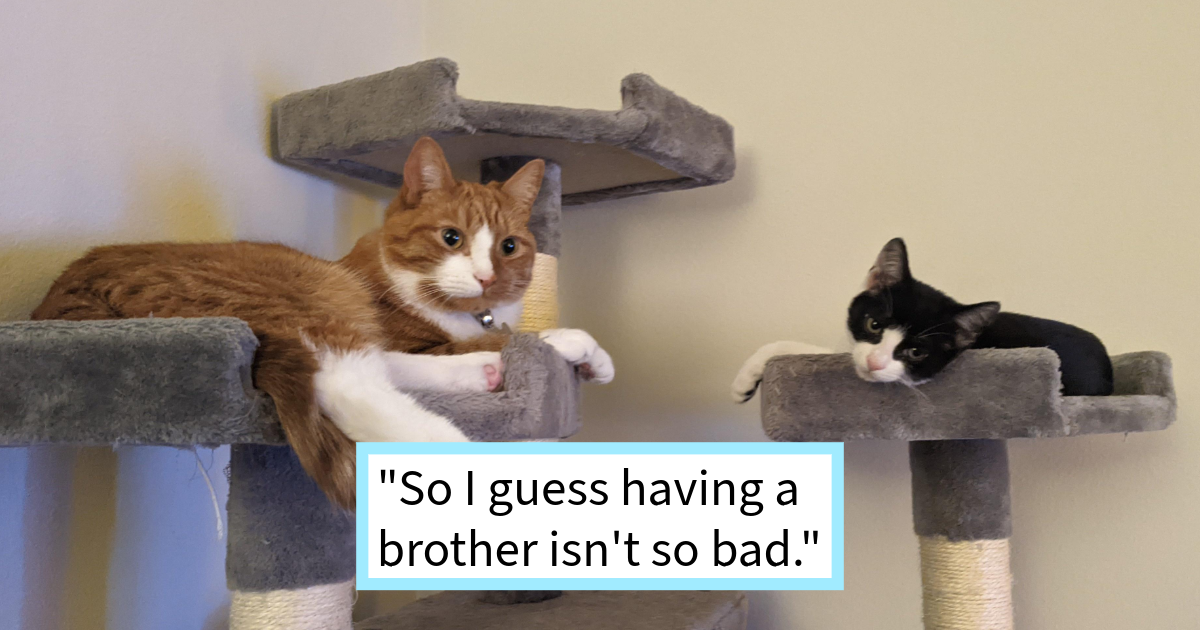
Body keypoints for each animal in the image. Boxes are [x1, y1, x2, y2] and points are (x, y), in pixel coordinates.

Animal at [31, 137, 614, 510]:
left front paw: (585, 358)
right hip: (311, 288)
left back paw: (485, 374)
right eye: (452, 238)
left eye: (509, 247)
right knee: (347, 379)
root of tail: (64, 293)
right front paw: (576, 343)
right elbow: (512, 335)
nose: (486, 275)